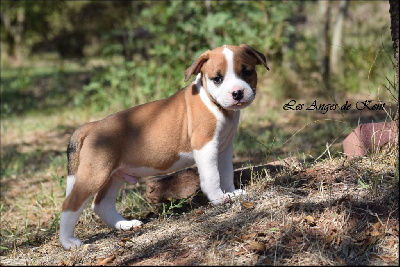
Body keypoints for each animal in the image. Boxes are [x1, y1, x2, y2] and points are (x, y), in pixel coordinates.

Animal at [59, 44, 268, 251]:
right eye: (217, 79)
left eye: (247, 72)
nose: (237, 93)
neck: (213, 103)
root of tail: (93, 125)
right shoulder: (205, 146)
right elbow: (212, 176)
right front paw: (218, 198)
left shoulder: (224, 148)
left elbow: (225, 172)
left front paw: (231, 193)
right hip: (95, 174)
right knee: (70, 203)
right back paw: (68, 242)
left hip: (114, 175)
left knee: (102, 204)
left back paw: (125, 225)